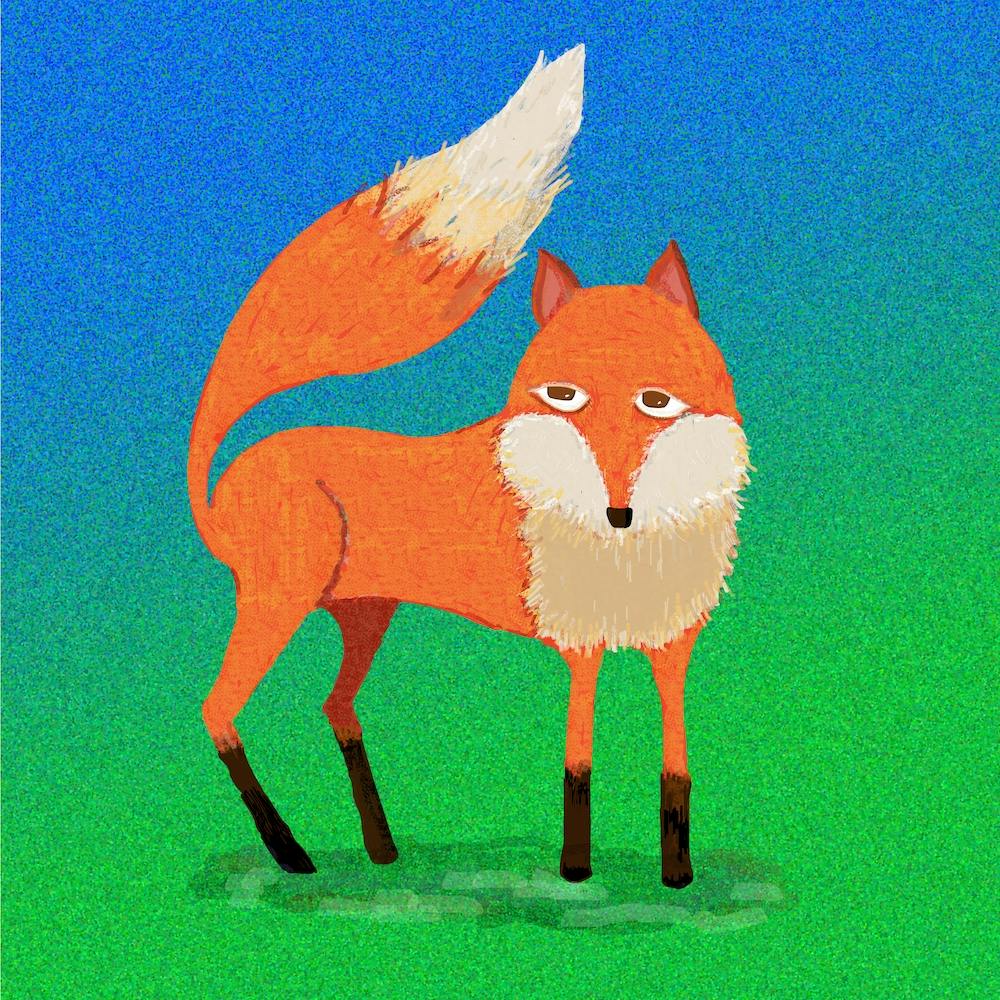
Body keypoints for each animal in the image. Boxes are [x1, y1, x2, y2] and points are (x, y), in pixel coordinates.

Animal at [189, 44, 750, 889]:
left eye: (656, 401)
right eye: (563, 396)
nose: (618, 512)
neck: (633, 547)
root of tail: (223, 487)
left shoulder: (671, 642)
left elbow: (676, 771)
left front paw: (677, 877)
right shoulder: (581, 643)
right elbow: (578, 765)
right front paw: (575, 872)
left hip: (366, 613)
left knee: (334, 706)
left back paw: (382, 847)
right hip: (279, 602)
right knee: (218, 710)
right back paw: (291, 852)